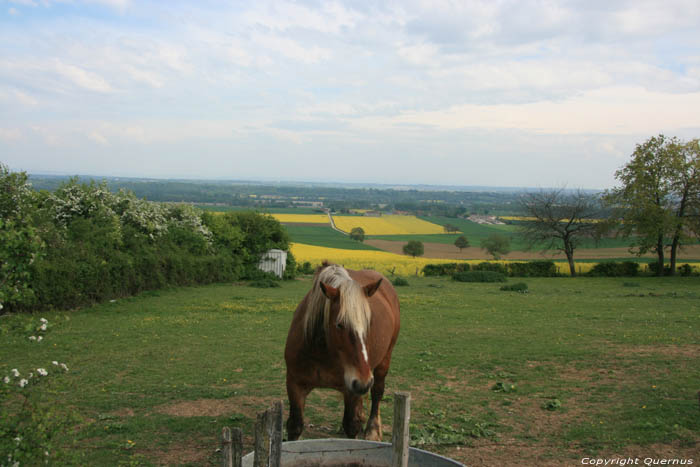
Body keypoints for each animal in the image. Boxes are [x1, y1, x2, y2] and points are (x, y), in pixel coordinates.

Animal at [284, 264, 400, 442]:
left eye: (369, 323)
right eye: (339, 324)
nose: (363, 382)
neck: (323, 352)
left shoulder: (351, 390)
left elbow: (351, 427)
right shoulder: (294, 384)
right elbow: (295, 426)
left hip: (383, 362)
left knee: (377, 393)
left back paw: (372, 430)